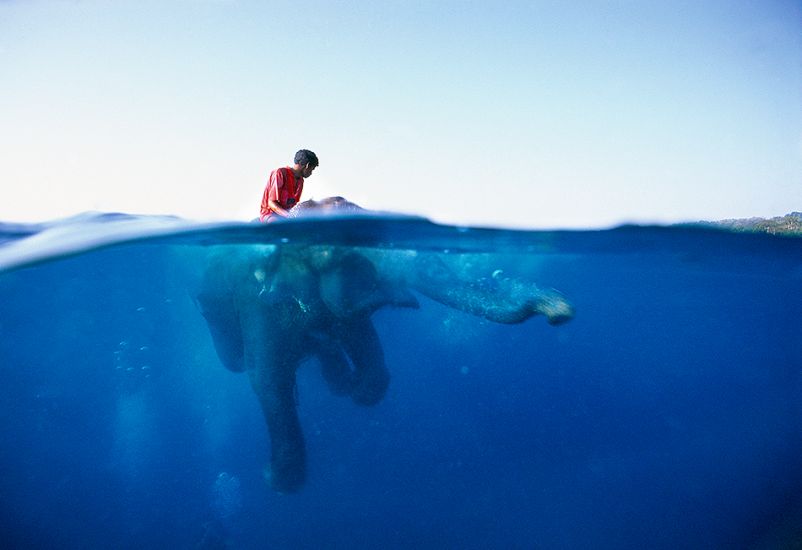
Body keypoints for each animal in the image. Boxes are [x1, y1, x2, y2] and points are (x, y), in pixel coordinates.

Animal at [196, 198, 573, 493]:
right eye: (332, 254)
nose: (559, 310)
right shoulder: (257, 303)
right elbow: (267, 379)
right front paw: (277, 480)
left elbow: (363, 340)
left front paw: (359, 390)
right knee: (236, 361)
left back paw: (339, 378)